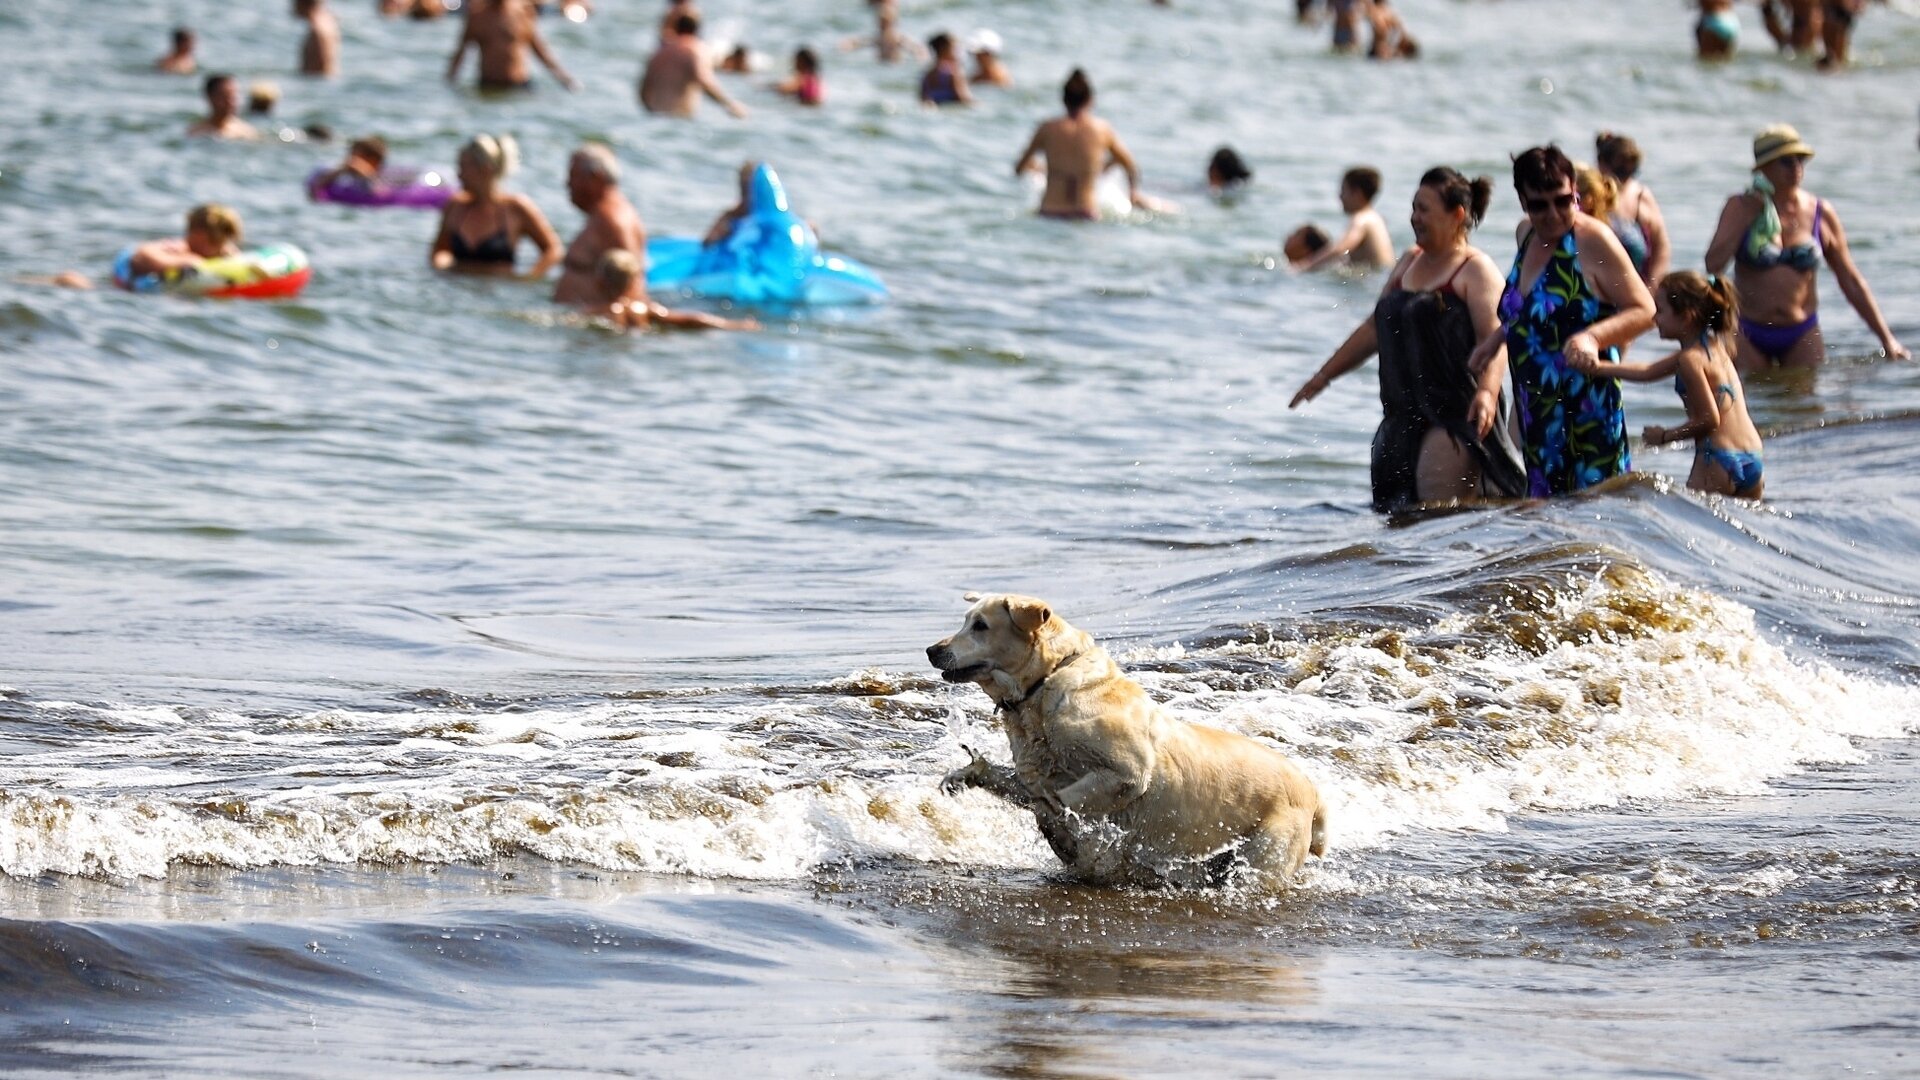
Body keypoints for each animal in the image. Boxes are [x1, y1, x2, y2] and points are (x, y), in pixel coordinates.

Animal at [925, 591, 1320, 887]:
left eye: (980, 625)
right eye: (965, 620)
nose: (932, 650)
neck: (1045, 683)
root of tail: (1315, 797)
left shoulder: (1128, 773)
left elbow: (1060, 802)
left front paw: (1066, 833)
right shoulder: (1036, 771)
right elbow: (1024, 786)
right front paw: (964, 774)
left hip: (1263, 855)